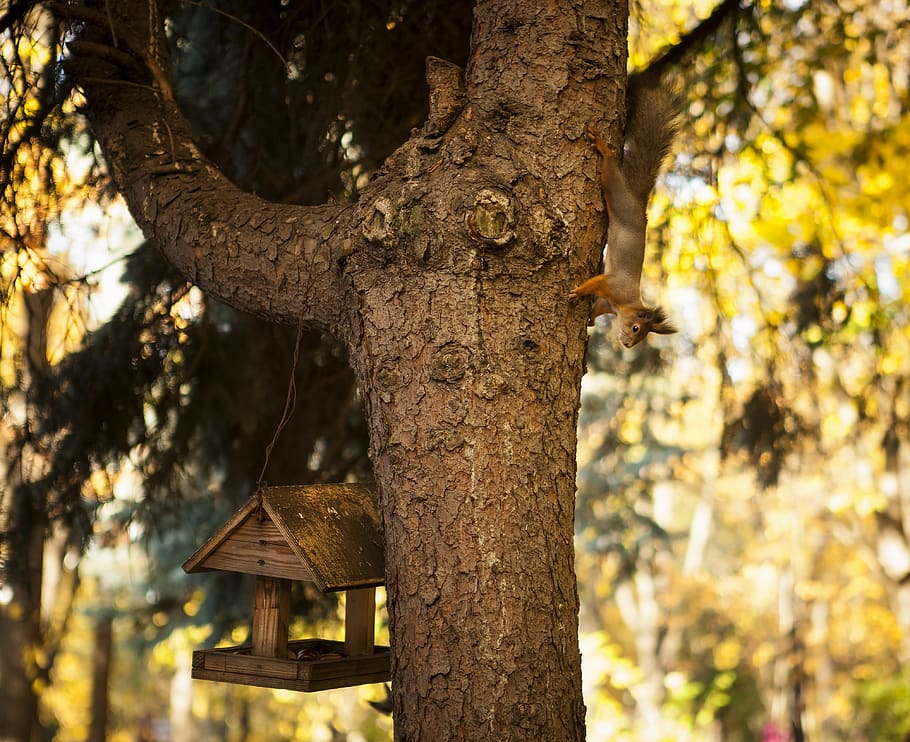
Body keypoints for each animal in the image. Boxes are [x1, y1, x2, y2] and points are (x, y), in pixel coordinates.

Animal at [570, 74, 679, 348]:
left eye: (640, 335)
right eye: (636, 328)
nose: (628, 345)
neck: (626, 303)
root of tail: (638, 203)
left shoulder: (608, 301)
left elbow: (597, 307)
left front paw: (589, 319)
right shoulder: (612, 284)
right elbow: (595, 283)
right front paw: (579, 291)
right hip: (617, 193)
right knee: (609, 164)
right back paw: (602, 146)